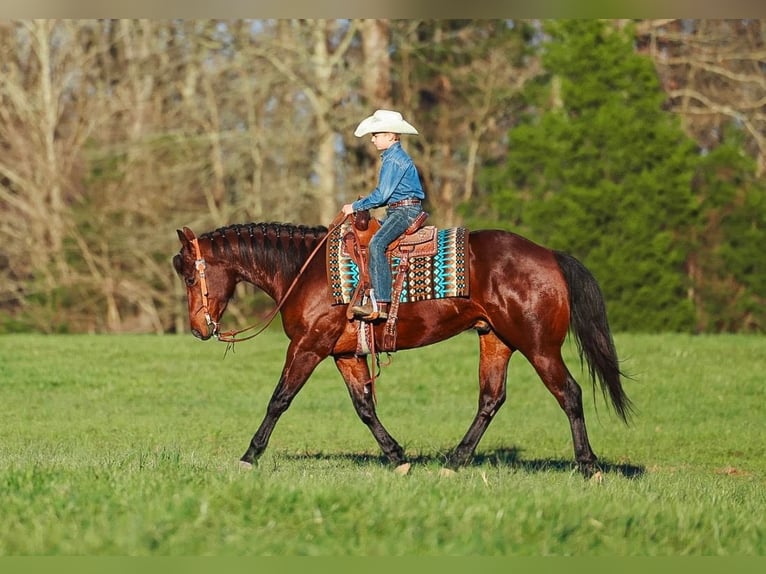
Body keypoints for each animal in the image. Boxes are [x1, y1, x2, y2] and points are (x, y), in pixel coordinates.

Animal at [172, 217, 633, 477]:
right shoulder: (345, 354)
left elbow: (279, 400)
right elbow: (364, 408)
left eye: (191, 277)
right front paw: (398, 457)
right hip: (496, 341)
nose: (198, 329)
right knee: (490, 399)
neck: (305, 271)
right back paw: (454, 463)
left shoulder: (308, 347)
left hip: (539, 346)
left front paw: (249, 456)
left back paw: (589, 467)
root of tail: (550, 256)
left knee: (569, 393)